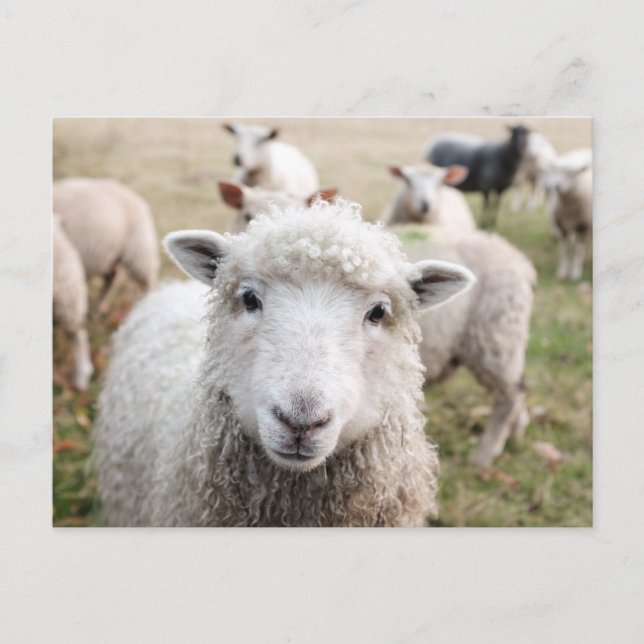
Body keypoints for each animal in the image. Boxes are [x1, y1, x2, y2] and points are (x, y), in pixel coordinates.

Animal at [542, 148, 593, 281]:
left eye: (571, 173)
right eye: (554, 171)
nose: (556, 186)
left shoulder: (584, 226)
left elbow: (579, 250)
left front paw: (575, 273)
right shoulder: (562, 227)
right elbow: (566, 250)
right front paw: (563, 272)